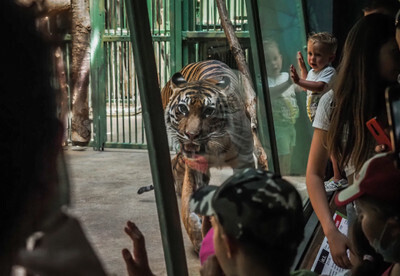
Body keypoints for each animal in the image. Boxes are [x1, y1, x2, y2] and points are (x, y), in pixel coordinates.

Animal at [162, 59, 253, 251]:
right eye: (183, 109)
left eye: (208, 111)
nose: (191, 135)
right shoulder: (195, 167)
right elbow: (188, 209)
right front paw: (198, 237)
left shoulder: (245, 161)